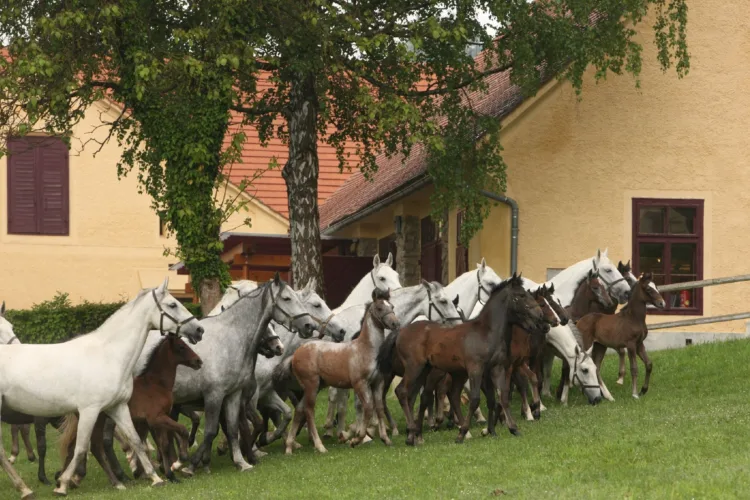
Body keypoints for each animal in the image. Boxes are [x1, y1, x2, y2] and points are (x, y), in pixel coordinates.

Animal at [59, 334, 204, 490]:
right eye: (181, 346)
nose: (198, 361)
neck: (156, 384)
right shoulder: (156, 418)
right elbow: (182, 430)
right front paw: (179, 461)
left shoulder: (158, 420)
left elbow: (164, 445)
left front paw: (171, 475)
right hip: (96, 420)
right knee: (95, 447)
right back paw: (115, 482)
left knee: (76, 446)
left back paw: (67, 481)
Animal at [382, 274, 548, 446]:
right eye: (521, 296)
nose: (539, 315)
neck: (486, 332)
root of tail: (401, 331)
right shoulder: (476, 369)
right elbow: (475, 399)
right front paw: (462, 433)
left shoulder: (496, 369)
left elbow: (501, 396)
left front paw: (509, 429)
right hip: (414, 368)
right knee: (402, 391)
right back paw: (411, 432)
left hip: (425, 371)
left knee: (420, 396)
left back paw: (416, 435)